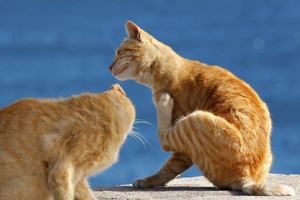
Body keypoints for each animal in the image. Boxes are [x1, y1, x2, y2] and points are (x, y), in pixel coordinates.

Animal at [108, 21, 296, 196]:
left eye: (119, 52)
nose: (109, 68)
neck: (165, 71)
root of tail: (246, 177)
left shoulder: (182, 142)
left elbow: (168, 164)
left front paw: (148, 181)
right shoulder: (184, 151)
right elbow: (171, 168)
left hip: (195, 118)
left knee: (164, 139)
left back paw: (164, 103)